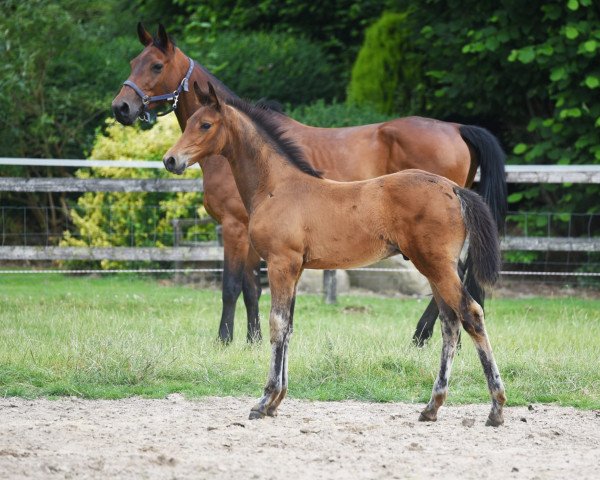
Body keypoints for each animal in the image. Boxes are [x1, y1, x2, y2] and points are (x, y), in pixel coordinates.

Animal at [111, 23, 506, 344]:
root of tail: (457, 127)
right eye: (132, 61)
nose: (122, 108)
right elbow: (253, 287)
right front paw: (254, 339)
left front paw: (225, 340)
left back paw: (422, 336)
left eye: (156, 65)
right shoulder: (254, 234)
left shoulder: (234, 227)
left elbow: (232, 285)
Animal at [162, 84, 504, 426]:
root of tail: (454, 190)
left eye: (205, 125)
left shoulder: (280, 263)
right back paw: (432, 406)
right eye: (189, 122)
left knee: (471, 314)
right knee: (450, 323)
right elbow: (288, 327)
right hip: (434, 268)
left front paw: (264, 400)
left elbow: (276, 324)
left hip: (437, 266)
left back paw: (496, 408)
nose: (170, 160)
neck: (276, 186)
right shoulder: (296, 268)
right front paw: (277, 401)